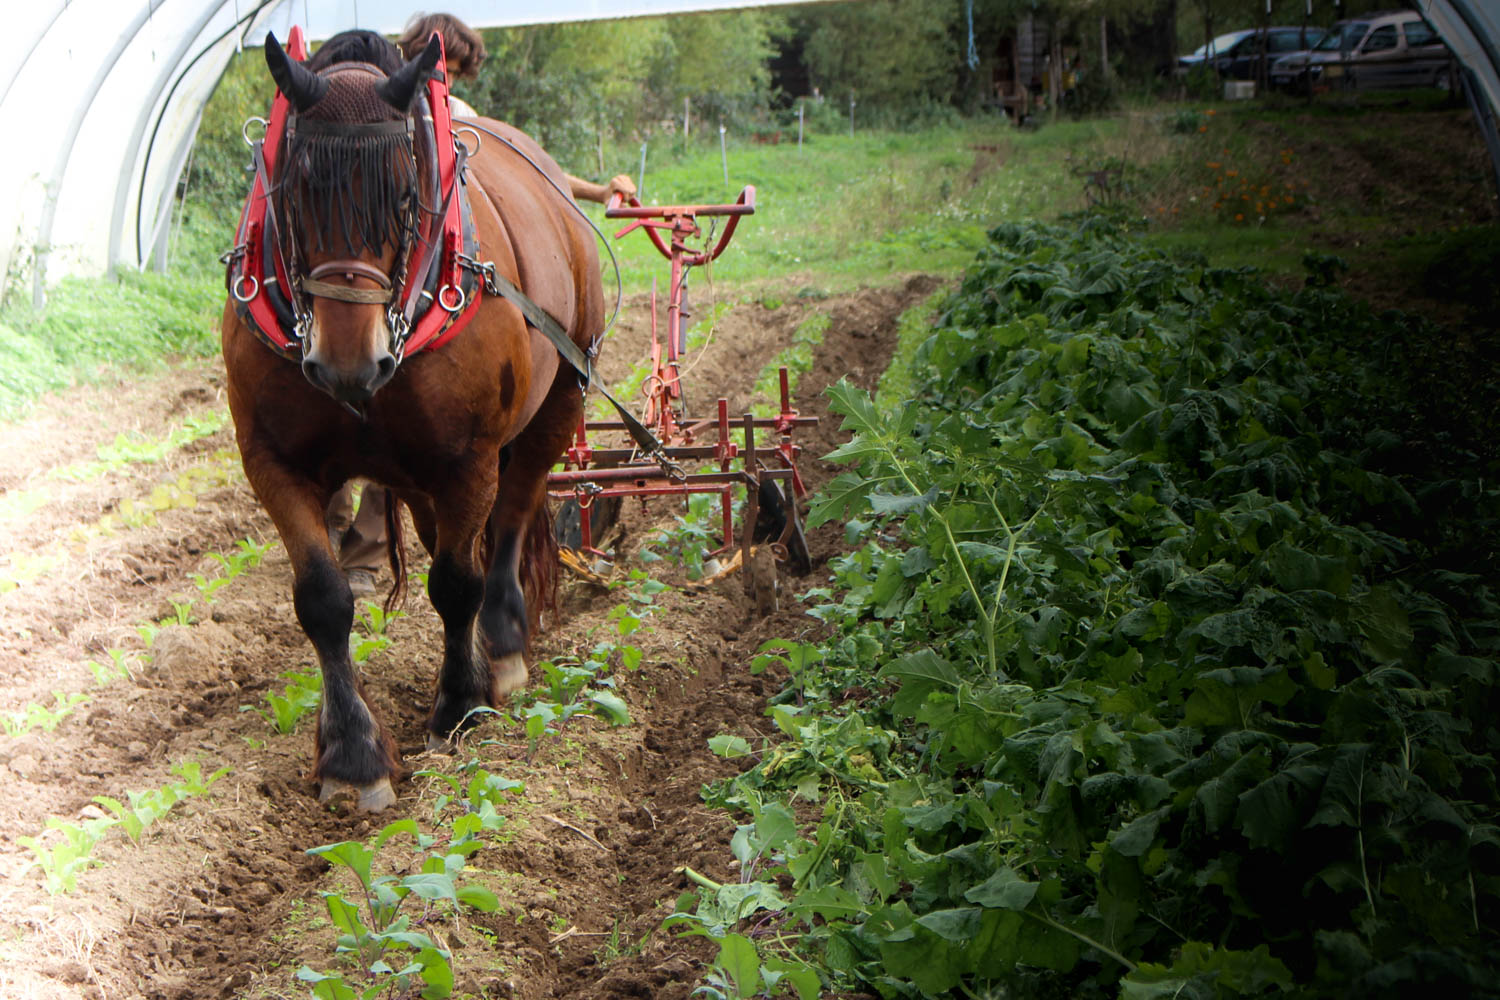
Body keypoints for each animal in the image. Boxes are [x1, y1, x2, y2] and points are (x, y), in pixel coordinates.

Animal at [222, 33, 597, 815]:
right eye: (292, 190)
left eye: (404, 193)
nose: (346, 362)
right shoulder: (272, 461)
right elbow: (322, 601)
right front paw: (352, 756)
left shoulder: (471, 457)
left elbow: (456, 583)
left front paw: (459, 709)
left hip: (559, 401)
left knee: (511, 519)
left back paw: (504, 646)